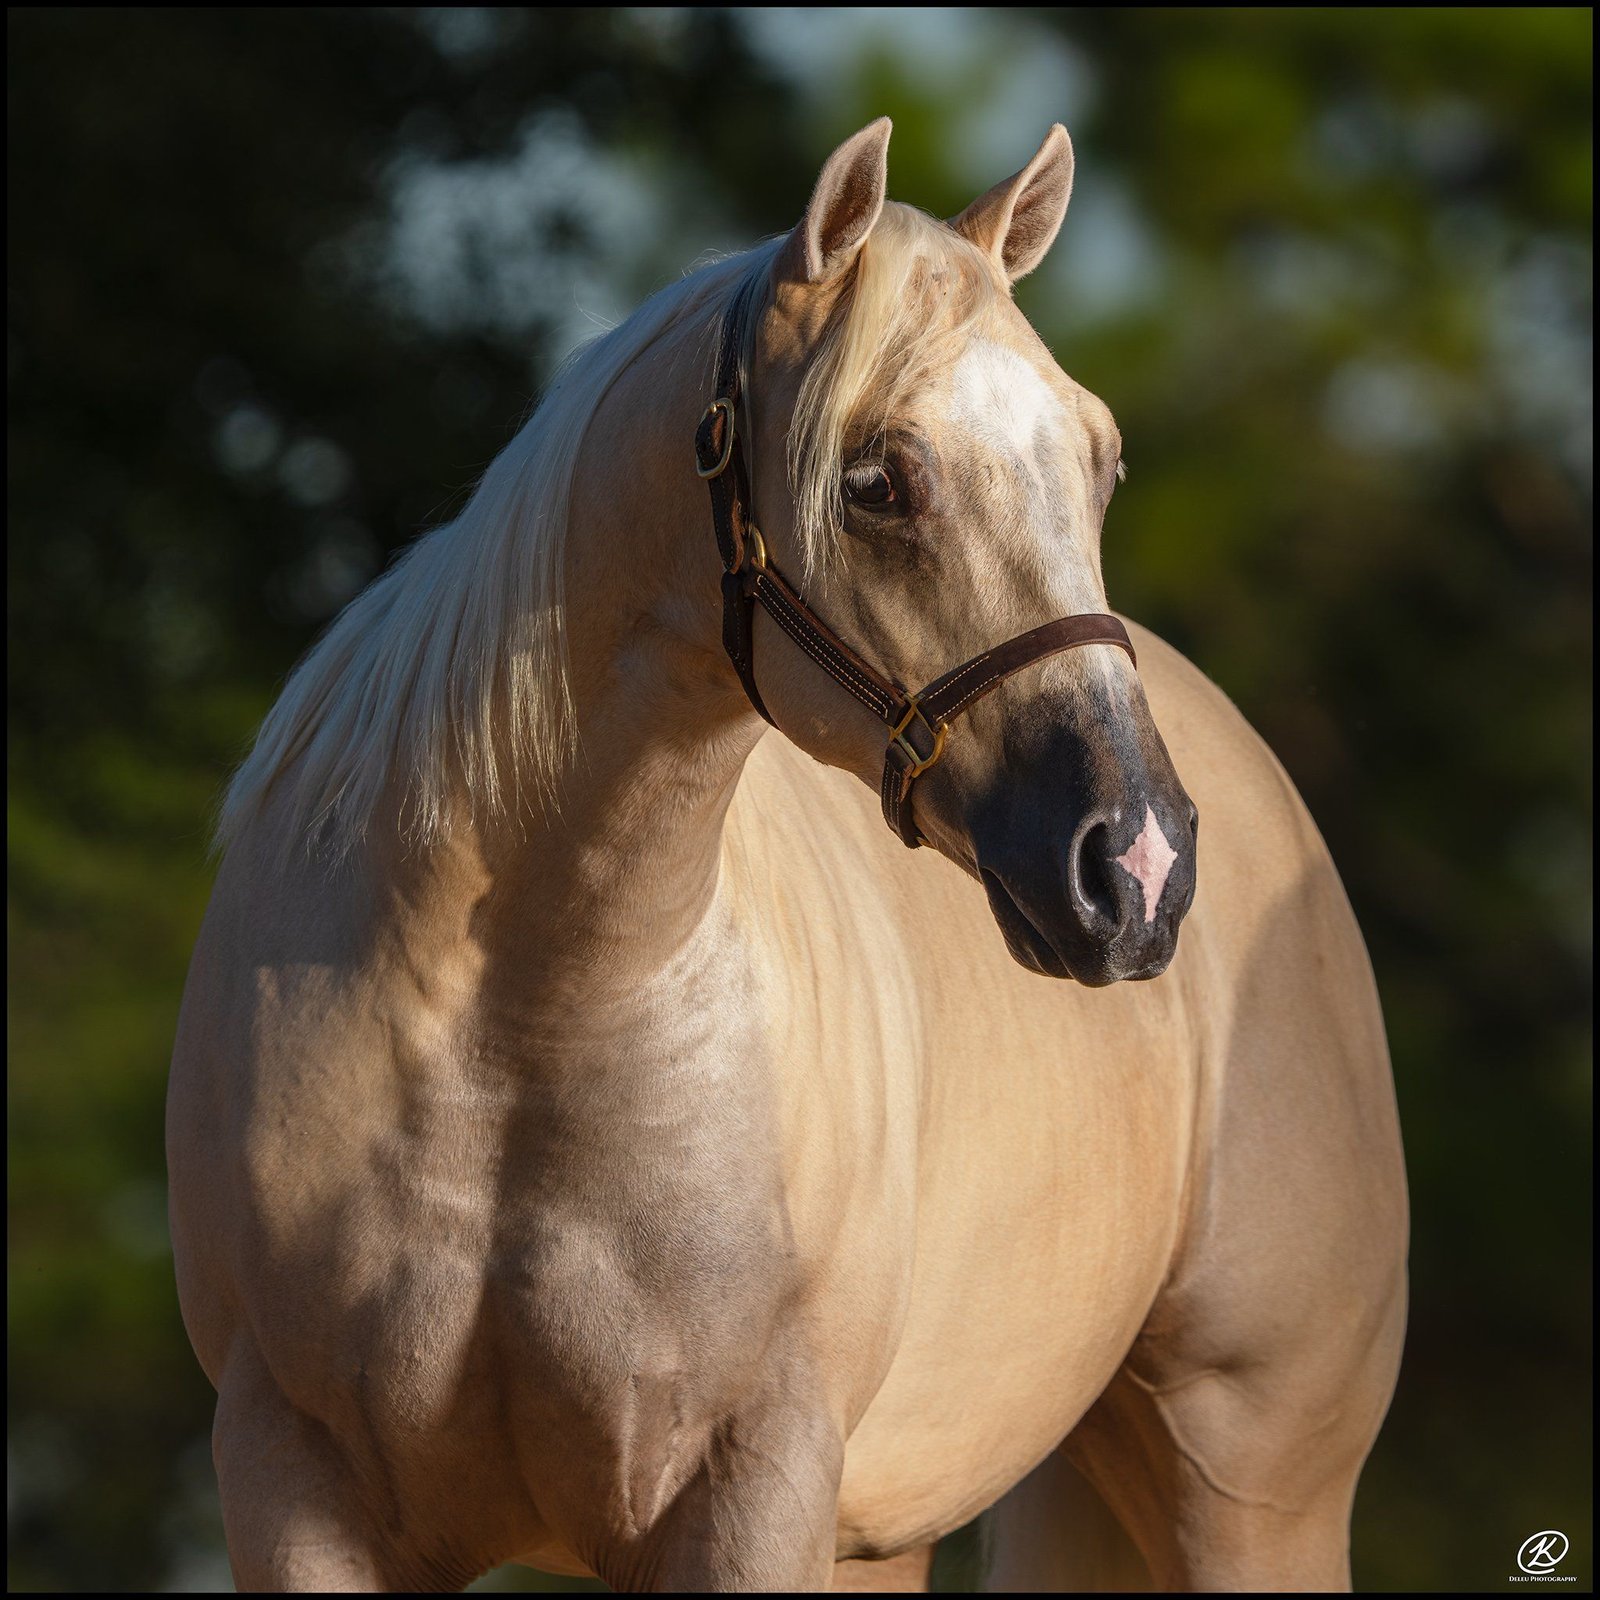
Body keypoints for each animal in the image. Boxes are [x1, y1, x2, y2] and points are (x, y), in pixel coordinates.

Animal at [168, 118, 1408, 1593]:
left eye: (1100, 463)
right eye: (876, 481)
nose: (1139, 866)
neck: (523, 1013)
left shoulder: (749, 1489)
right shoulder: (295, 1485)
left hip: (1253, 1487)